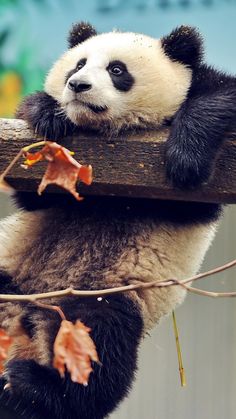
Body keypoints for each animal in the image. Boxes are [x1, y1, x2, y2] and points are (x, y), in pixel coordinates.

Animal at [0, 22, 234, 419]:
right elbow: (35, 194)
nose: (77, 85)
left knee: (103, 342)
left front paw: (186, 156)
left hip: (107, 293)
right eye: (78, 64)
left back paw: (33, 387)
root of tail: (28, 315)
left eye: (117, 70)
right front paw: (47, 112)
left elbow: (216, 98)